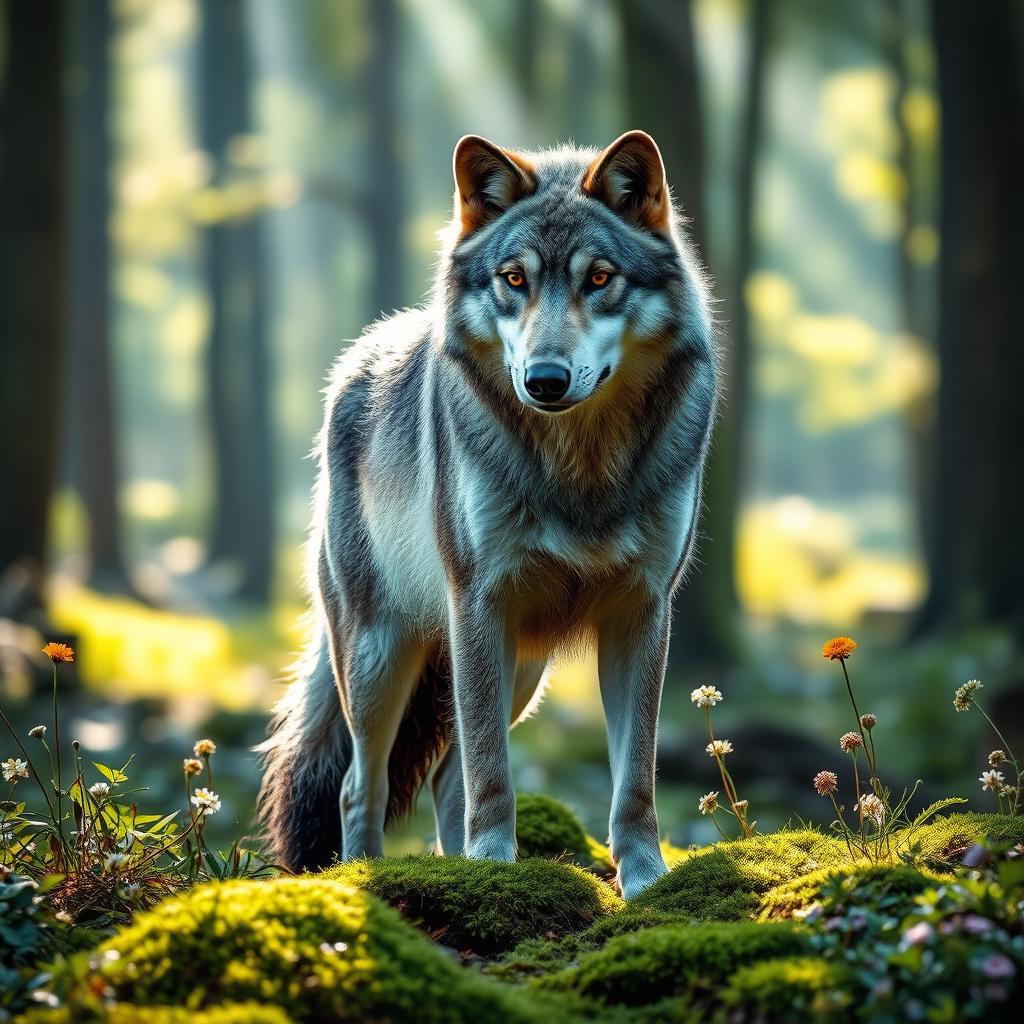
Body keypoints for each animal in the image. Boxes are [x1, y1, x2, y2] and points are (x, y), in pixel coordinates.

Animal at [257, 130, 719, 899]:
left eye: (600, 278)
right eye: (514, 279)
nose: (545, 380)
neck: (580, 469)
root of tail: (355, 361)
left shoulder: (643, 611)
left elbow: (635, 781)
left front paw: (647, 882)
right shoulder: (479, 600)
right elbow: (492, 774)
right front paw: (496, 866)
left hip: (521, 670)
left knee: (448, 777)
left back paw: (460, 867)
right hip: (383, 657)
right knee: (363, 782)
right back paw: (362, 876)